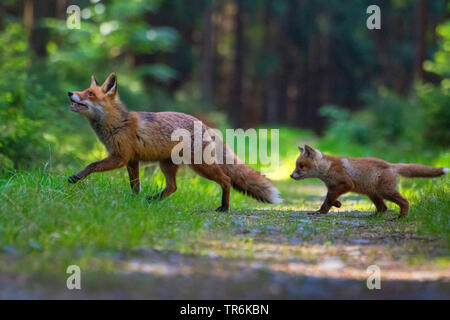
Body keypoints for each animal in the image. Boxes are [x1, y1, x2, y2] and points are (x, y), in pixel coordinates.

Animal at [67, 73, 282, 211]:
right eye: (84, 90)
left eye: (90, 94)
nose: (69, 93)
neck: (118, 124)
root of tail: (205, 125)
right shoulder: (132, 161)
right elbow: (135, 186)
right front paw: (133, 202)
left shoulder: (120, 158)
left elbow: (92, 165)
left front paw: (76, 177)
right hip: (167, 165)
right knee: (172, 187)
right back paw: (153, 200)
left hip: (200, 165)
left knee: (226, 180)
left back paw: (224, 207)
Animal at [290, 145, 448, 218]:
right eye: (296, 165)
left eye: (301, 166)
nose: (291, 176)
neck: (327, 168)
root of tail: (392, 165)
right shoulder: (332, 187)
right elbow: (328, 201)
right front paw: (324, 210)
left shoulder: (346, 184)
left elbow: (329, 199)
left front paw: (331, 207)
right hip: (373, 194)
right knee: (383, 207)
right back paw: (374, 216)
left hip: (385, 191)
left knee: (404, 201)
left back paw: (401, 217)